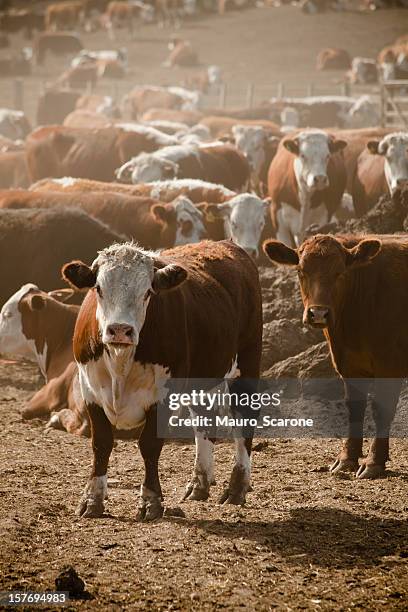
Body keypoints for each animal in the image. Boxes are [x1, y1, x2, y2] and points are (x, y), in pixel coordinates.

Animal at [62, 241, 262, 520]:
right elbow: (101, 443)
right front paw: (92, 500)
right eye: (98, 288)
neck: (121, 363)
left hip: (247, 362)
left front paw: (150, 501)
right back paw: (198, 484)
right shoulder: (90, 389)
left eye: (148, 292)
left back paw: (237, 488)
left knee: (244, 423)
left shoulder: (163, 394)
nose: (120, 330)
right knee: (204, 421)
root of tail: (227, 245)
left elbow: (150, 445)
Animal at [262, 234, 408, 478]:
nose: (319, 313)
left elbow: (381, 409)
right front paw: (347, 458)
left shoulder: (389, 365)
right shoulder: (348, 365)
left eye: (340, 272)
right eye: (301, 271)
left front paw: (373, 462)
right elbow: (354, 408)